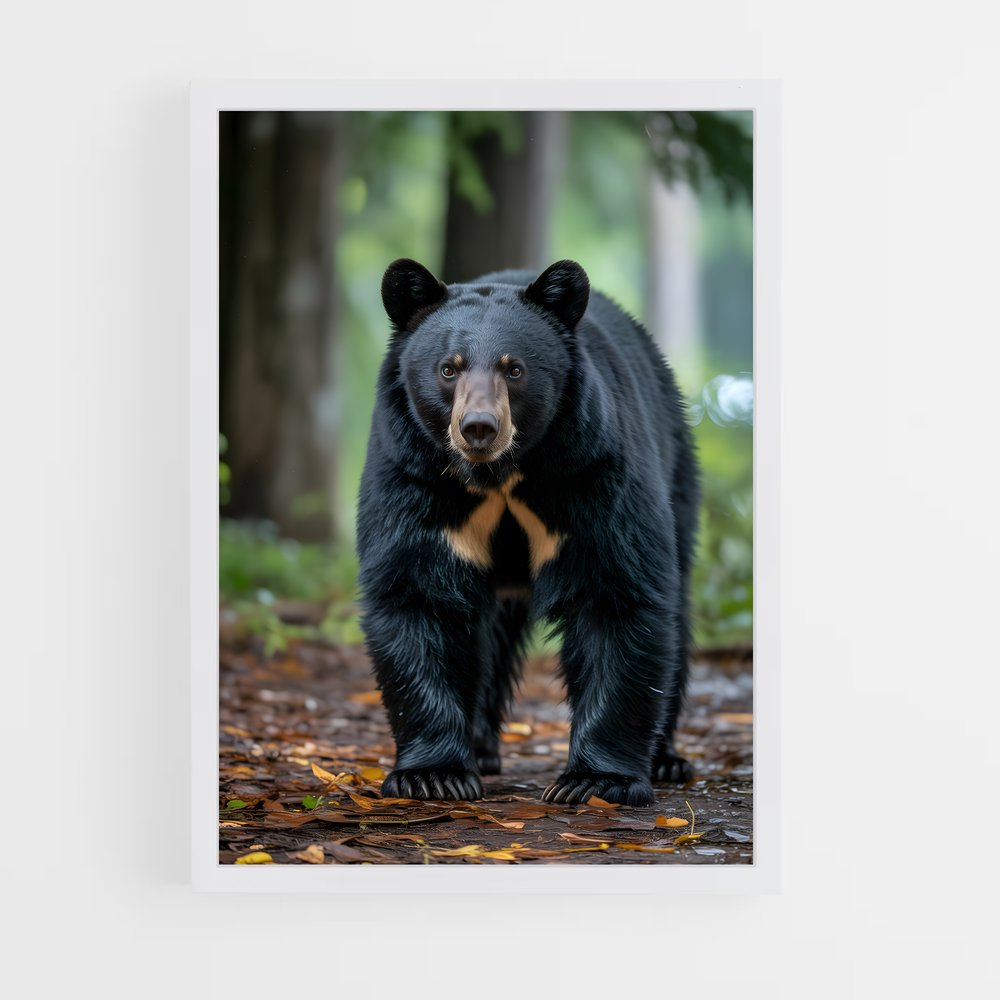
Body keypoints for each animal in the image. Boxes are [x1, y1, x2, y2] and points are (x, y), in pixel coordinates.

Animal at [356, 258, 699, 807]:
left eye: (513, 369)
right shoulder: (414, 476)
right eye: (448, 368)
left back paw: (666, 759)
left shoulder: (590, 469)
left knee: (677, 611)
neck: (497, 477)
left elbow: (615, 594)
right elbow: (418, 594)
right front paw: (432, 775)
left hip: (678, 472)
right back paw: (480, 749)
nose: (478, 427)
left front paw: (594, 780)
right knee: (488, 636)